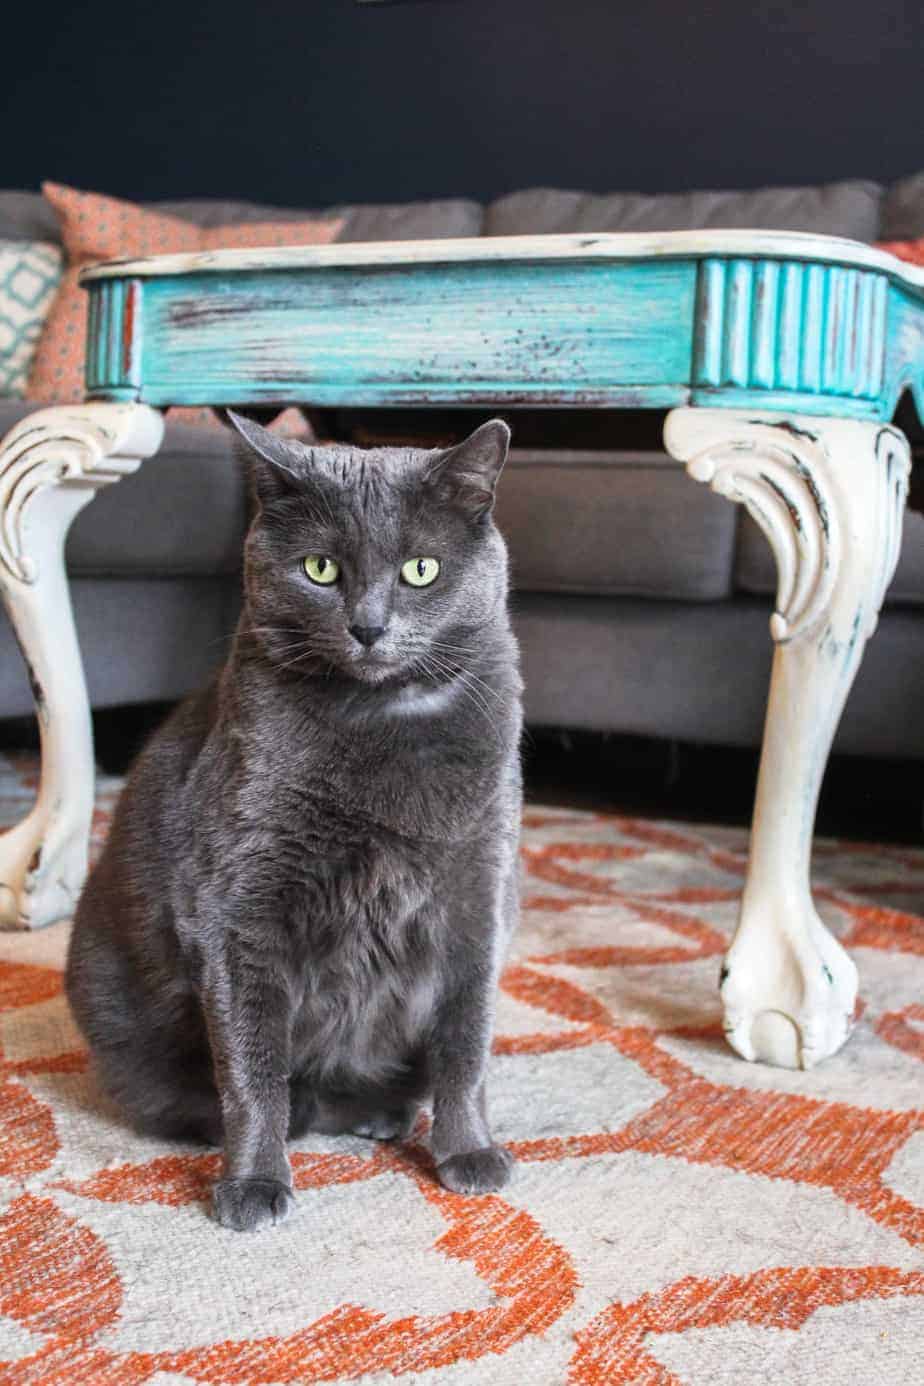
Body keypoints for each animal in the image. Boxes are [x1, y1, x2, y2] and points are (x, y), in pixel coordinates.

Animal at [66, 413, 520, 1236]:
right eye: (319, 568)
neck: (381, 724)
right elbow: (254, 1071)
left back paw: (384, 1113)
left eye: (421, 571)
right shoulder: (234, 906)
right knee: (268, 1098)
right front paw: (251, 1183)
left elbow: (466, 1042)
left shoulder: (479, 891)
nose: (368, 626)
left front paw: (470, 1152)